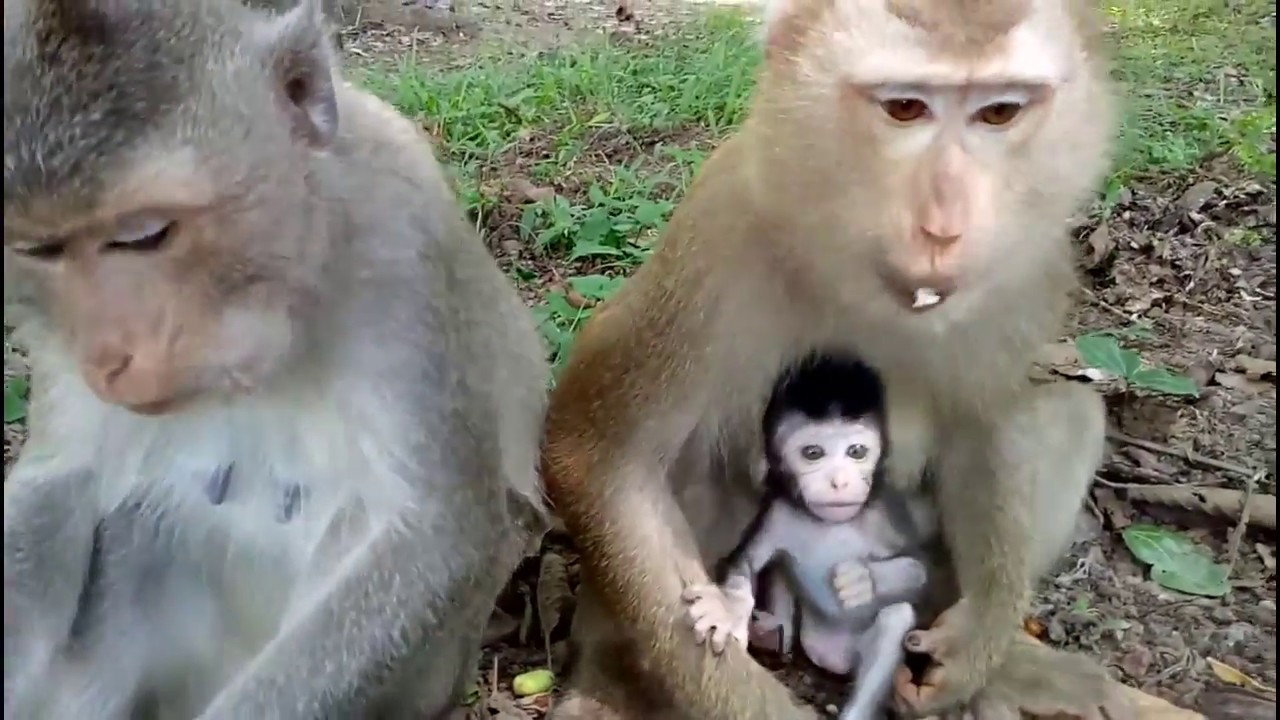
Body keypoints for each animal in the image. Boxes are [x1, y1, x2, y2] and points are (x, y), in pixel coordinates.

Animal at [3, 1, 549, 718]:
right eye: (42, 251)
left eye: (145, 235)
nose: (107, 355)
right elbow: (62, 474)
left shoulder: (405, 251)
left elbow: (433, 532)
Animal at [682, 352, 936, 720]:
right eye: (813, 453)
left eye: (857, 451)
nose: (839, 481)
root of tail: (830, 657)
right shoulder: (779, 512)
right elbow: (747, 559)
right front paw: (728, 611)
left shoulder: (884, 516)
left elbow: (922, 565)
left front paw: (862, 579)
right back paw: (770, 632)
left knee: (894, 619)